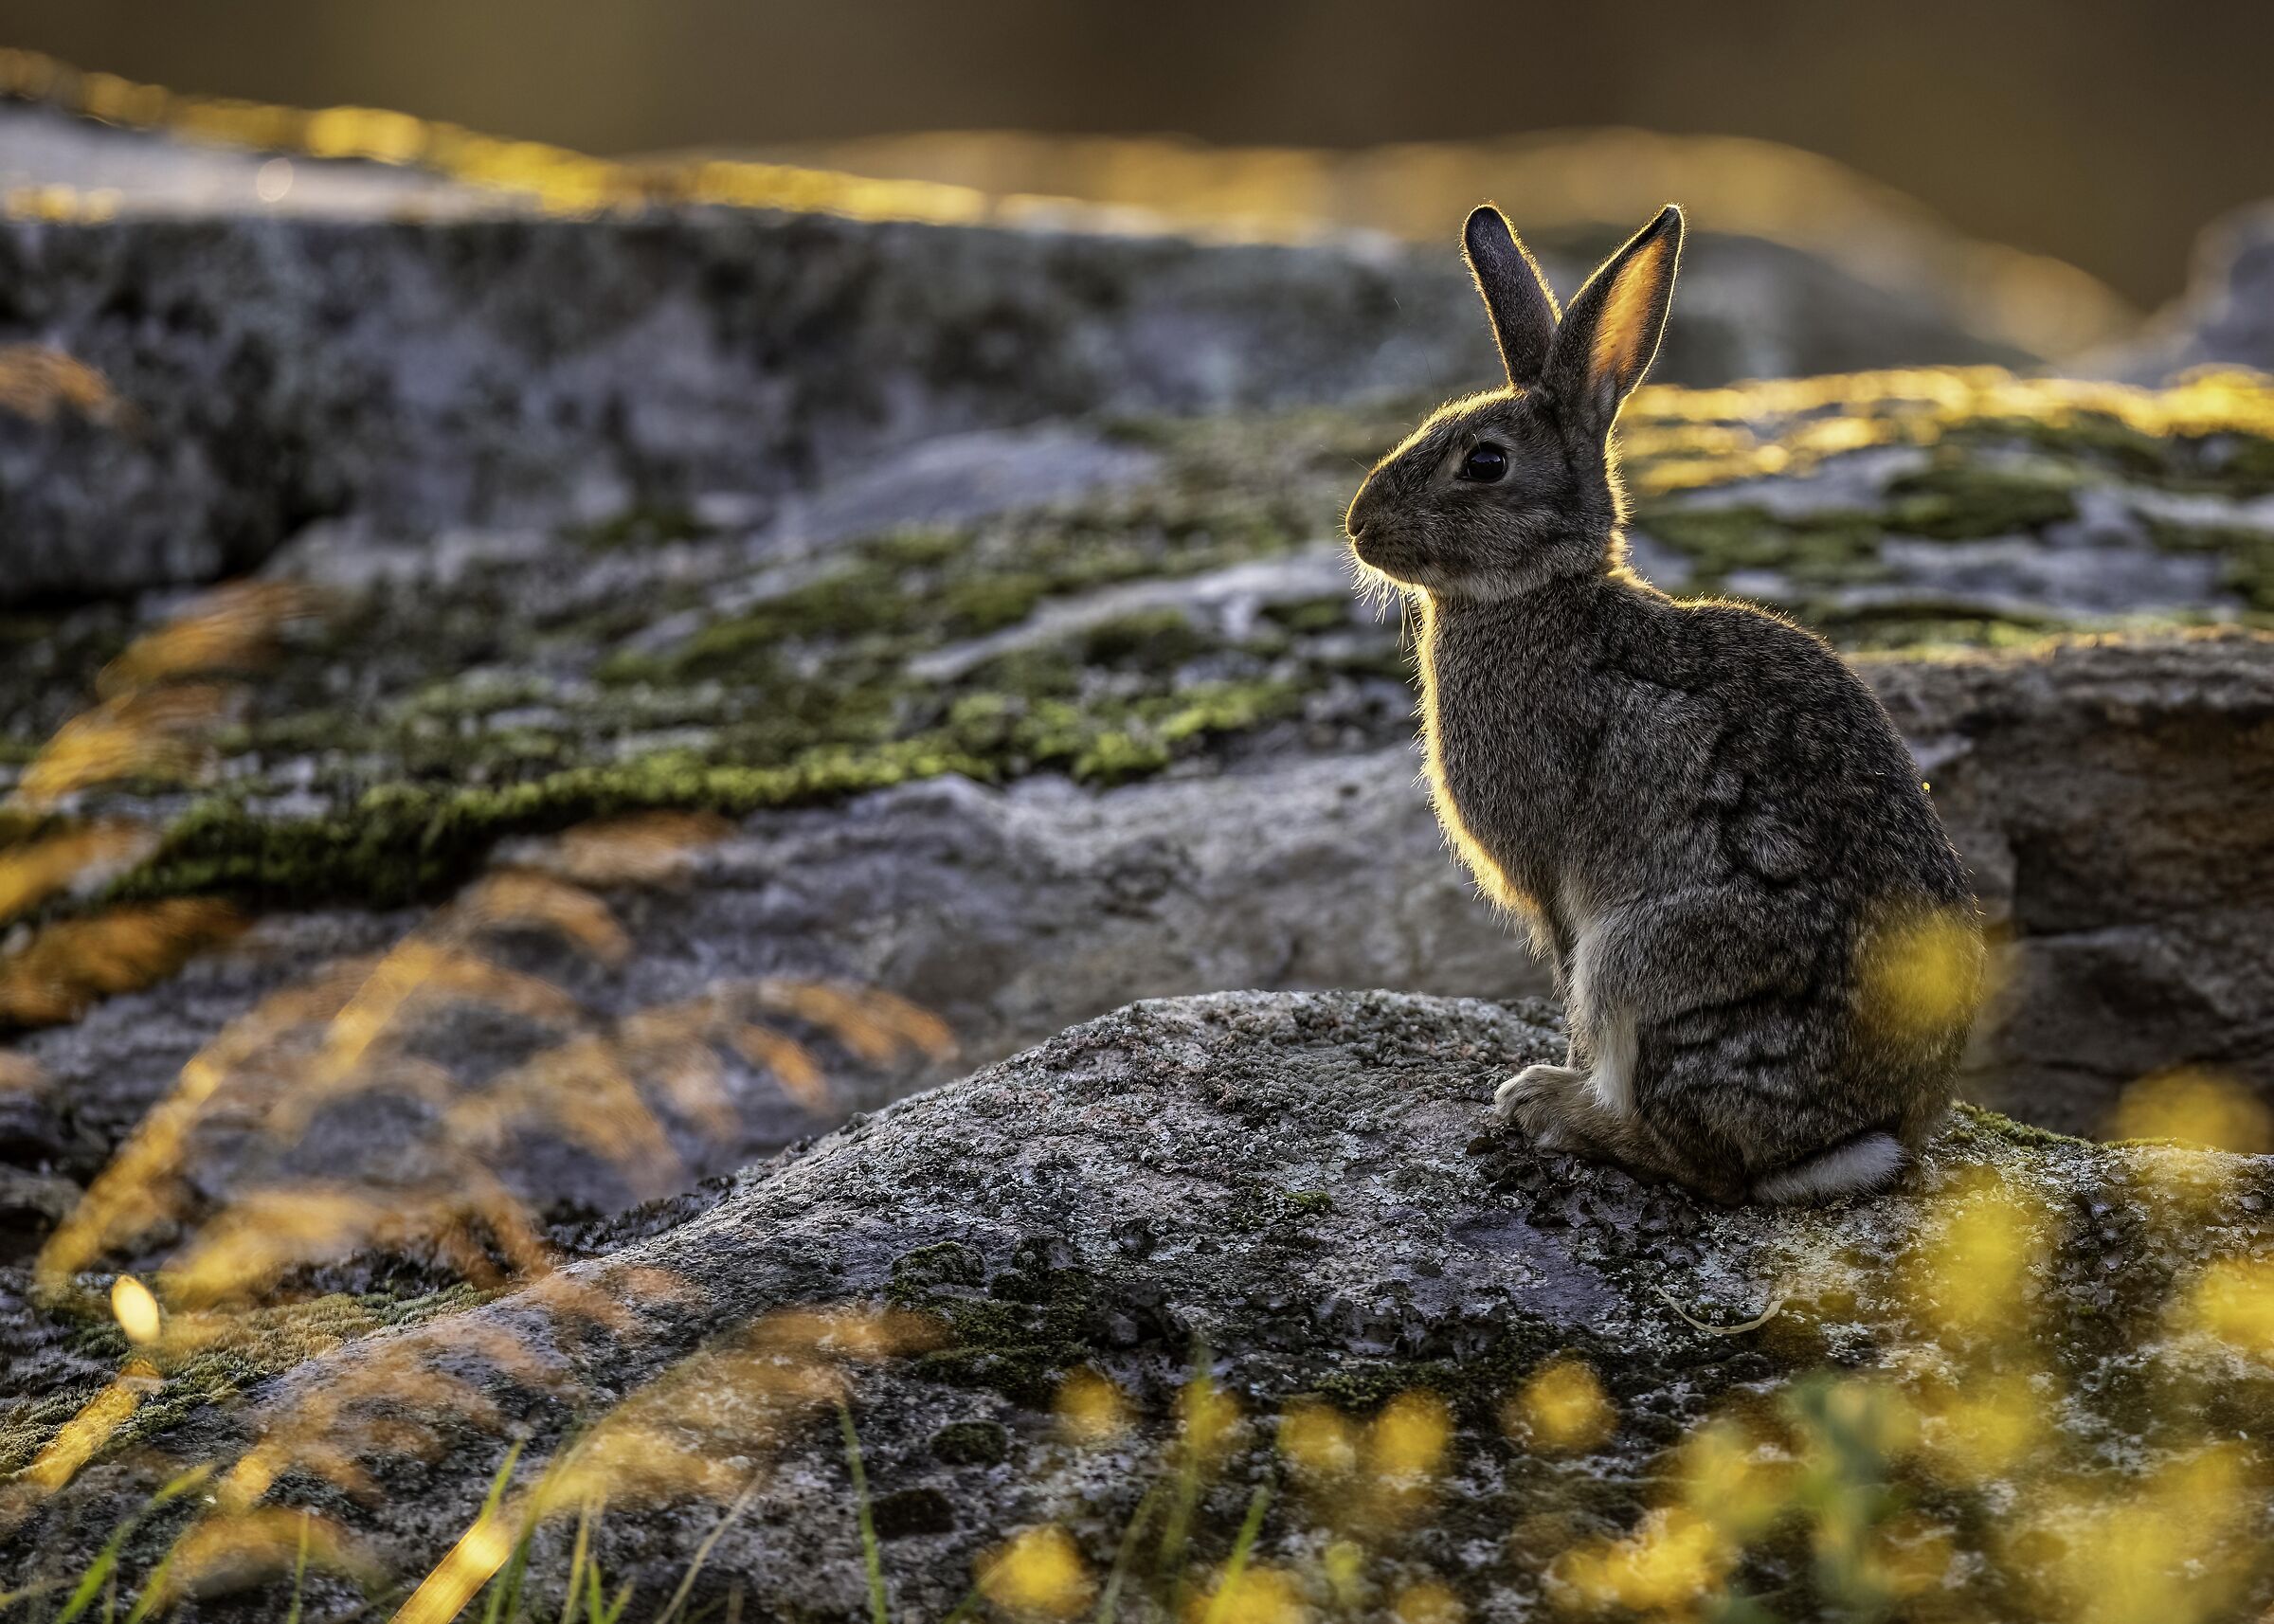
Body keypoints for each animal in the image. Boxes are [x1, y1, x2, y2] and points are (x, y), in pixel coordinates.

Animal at [1343, 203, 1984, 1205]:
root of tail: (1850, 1142)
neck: (1542, 591)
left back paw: (1551, 1108)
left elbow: (1564, 977)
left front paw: (1549, 1076)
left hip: (1647, 960)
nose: (1358, 529)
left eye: (1483, 462)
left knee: (1697, 1157)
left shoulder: (1552, 886)